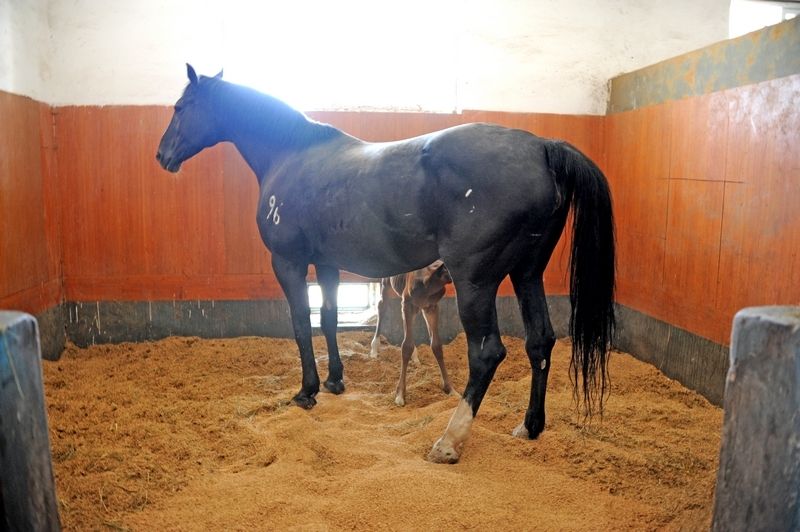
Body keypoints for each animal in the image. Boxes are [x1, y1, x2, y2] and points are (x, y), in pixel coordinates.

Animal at [370, 260, 455, 407]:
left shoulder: (431, 307)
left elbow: (436, 345)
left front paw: (449, 388)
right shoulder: (408, 304)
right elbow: (406, 346)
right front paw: (400, 395)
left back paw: (415, 357)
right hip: (386, 284)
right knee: (381, 306)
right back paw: (374, 350)